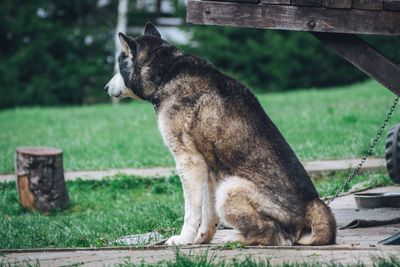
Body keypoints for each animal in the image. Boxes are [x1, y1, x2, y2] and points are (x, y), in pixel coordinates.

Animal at [104, 23, 336, 247]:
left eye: (119, 65)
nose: (106, 87)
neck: (167, 71)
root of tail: (312, 204)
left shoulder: (189, 162)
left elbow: (192, 212)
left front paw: (183, 239)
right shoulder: (207, 169)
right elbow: (208, 214)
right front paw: (201, 238)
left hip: (230, 188)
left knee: (275, 236)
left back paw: (234, 239)